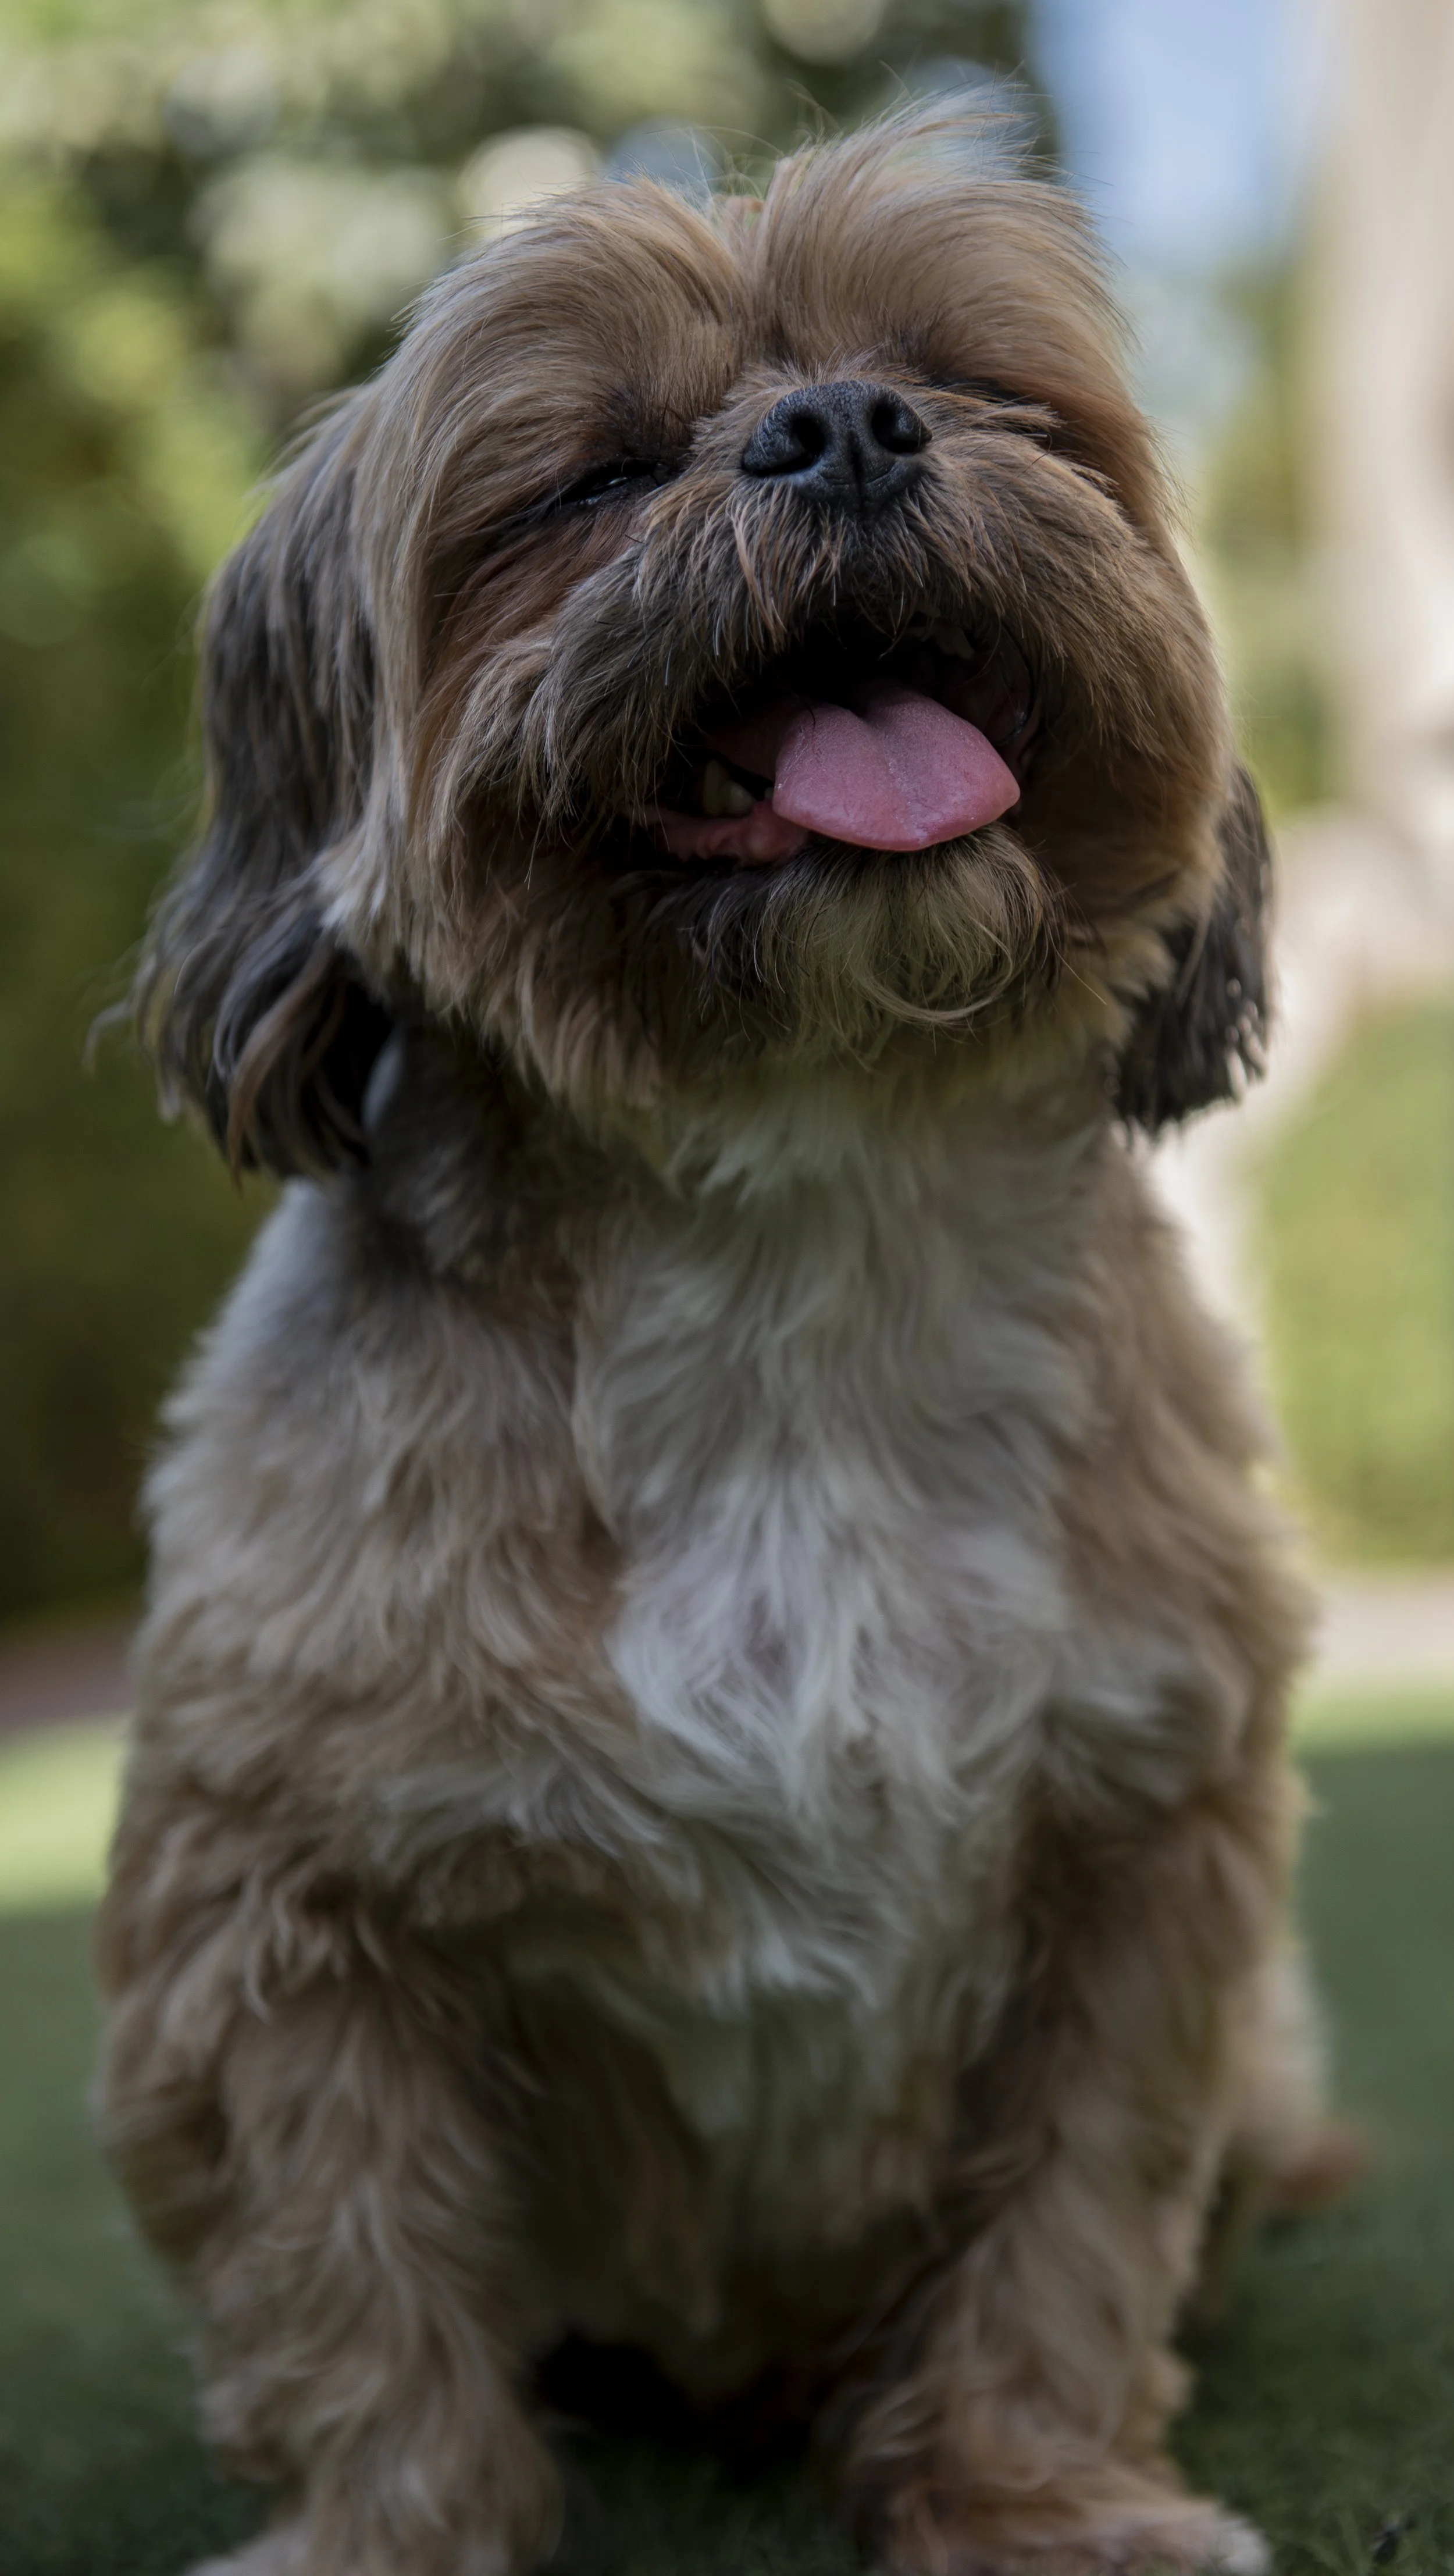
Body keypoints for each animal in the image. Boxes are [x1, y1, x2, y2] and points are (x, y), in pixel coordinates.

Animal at [100, 109, 1335, 2576]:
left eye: (977, 389)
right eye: (585, 476)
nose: (843, 425)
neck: (802, 1221)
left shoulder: (1150, 1847)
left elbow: (1070, 2215)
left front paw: (1038, 2492)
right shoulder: (279, 1902)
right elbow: (348, 2266)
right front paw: (390, 2534)